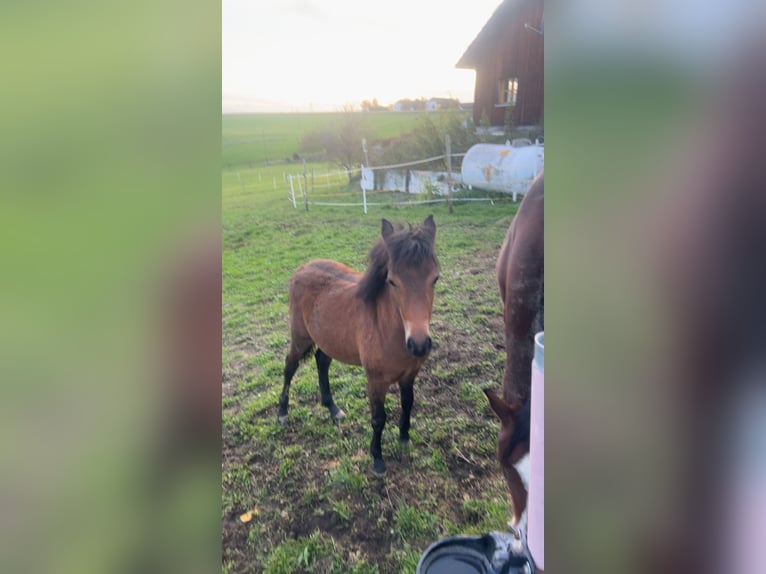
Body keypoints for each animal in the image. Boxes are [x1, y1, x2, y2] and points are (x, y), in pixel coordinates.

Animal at [280, 216, 440, 476]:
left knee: (321, 361)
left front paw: (404, 438)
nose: (418, 345)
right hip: (300, 337)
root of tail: (302, 267)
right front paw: (377, 460)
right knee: (289, 366)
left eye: (435, 278)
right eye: (392, 281)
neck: (387, 329)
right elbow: (378, 418)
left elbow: (408, 403)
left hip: (328, 338)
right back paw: (282, 413)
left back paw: (333, 408)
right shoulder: (375, 380)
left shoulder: (410, 374)